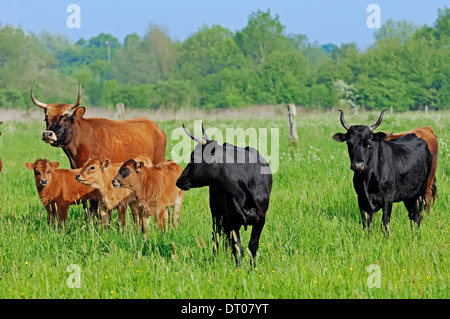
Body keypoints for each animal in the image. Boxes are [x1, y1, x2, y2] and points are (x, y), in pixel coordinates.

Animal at [177, 124, 272, 266]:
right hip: (216, 211)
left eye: (194, 158)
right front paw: (238, 269)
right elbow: (237, 247)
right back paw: (215, 260)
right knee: (216, 236)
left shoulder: (261, 218)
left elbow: (252, 246)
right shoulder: (231, 217)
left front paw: (252, 269)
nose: (179, 180)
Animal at [332, 110, 430, 238]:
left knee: (416, 217)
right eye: (349, 144)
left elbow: (385, 221)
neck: (367, 178)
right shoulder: (361, 198)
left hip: (419, 193)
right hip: (408, 196)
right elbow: (366, 223)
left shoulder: (388, 198)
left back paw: (415, 237)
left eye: (369, 144)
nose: (358, 165)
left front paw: (387, 239)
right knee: (412, 216)